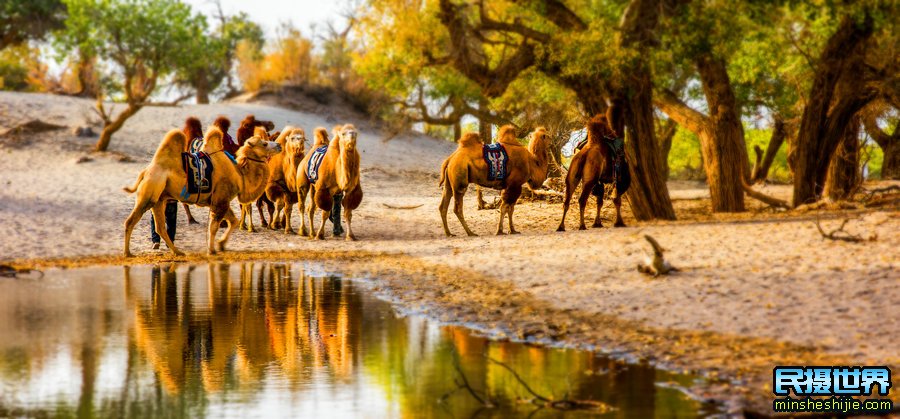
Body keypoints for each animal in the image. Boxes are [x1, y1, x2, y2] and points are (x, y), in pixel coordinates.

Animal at [121, 126, 280, 258]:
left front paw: (221, 245)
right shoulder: (220, 200)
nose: (278, 145)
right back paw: (128, 253)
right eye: (264, 143)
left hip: (159, 199)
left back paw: (177, 252)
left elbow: (233, 222)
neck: (240, 175)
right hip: (149, 193)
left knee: (160, 227)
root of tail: (145, 171)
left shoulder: (221, 200)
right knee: (130, 221)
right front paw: (211, 250)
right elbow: (214, 227)